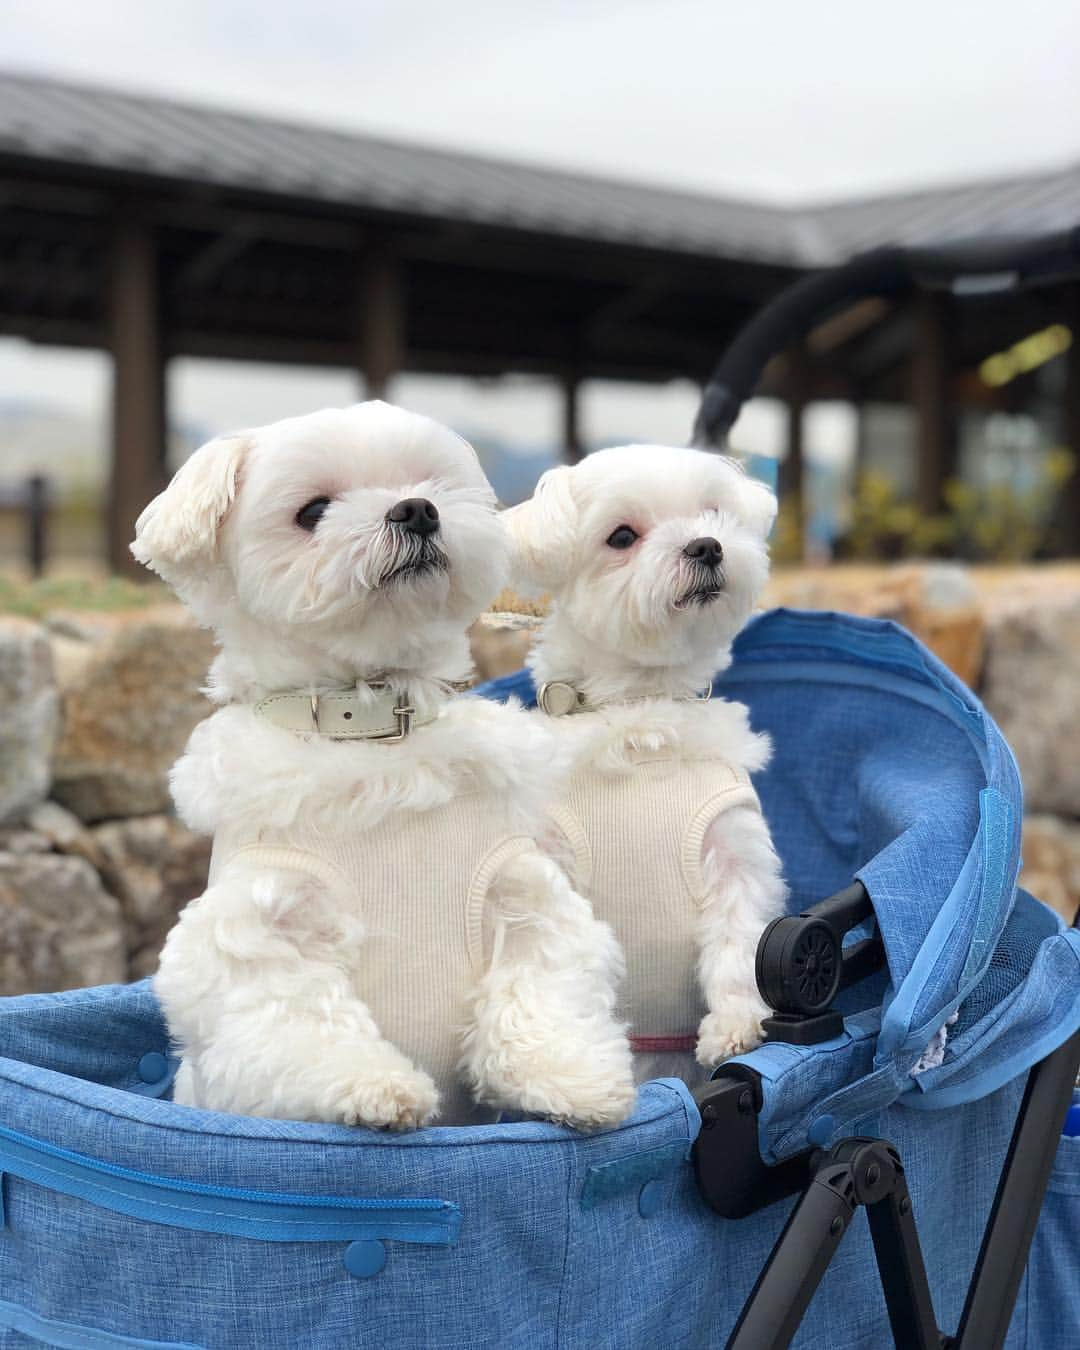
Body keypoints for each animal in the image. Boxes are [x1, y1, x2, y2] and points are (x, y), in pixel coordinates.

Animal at [128, 396, 631, 1128]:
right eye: (312, 510)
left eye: (429, 482)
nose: (416, 509)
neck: (372, 731)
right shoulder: (249, 930)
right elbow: (297, 1012)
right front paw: (376, 1086)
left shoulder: (523, 890)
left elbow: (543, 978)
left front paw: (570, 1078)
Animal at [507, 448, 783, 1080]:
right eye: (622, 536)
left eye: (713, 512)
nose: (706, 545)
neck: (643, 715)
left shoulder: (735, 854)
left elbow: (742, 946)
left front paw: (736, 1026)